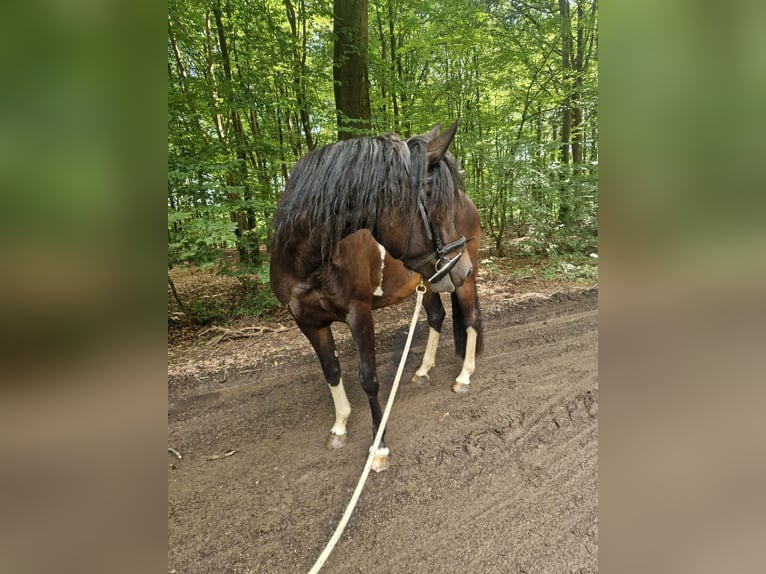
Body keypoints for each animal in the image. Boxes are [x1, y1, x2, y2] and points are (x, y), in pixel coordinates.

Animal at [270, 121, 484, 472]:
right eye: (437, 208)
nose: (462, 266)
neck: (310, 260)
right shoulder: (308, 322)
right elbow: (331, 370)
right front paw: (340, 426)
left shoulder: (359, 314)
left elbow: (368, 378)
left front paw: (379, 446)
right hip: (430, 280)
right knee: (437, 317)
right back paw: (423, 370)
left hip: (457, 283)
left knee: (470, 319)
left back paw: (465, 376)